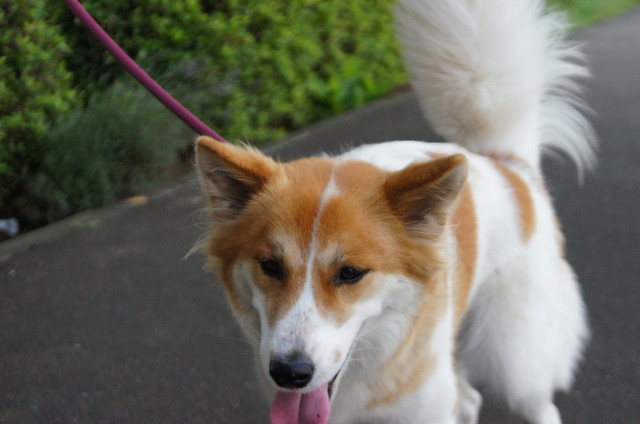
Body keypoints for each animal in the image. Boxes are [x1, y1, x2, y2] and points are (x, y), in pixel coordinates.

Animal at [193, 0, 594, 422]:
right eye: (270, 266)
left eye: (351, 273)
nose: (289, 373)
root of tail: (507, 164)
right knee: (470, 398)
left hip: (514, 360)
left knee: (536, 402)